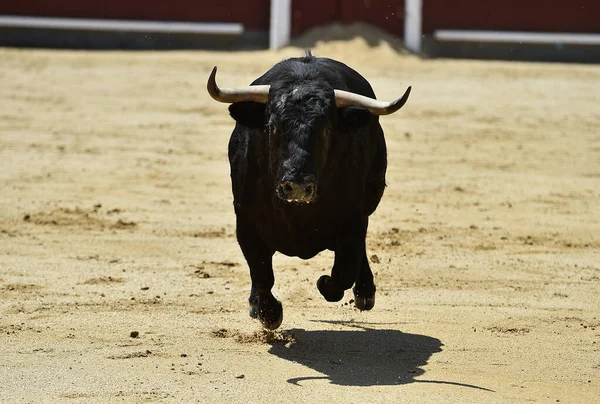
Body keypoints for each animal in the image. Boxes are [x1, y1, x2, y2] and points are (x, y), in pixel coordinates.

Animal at [207, 53, 412, 330]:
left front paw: (326, 284)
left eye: (327, 129)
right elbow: (261, 272)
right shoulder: (246, 222)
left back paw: (365, 293)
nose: (297, 186)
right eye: (272, 126)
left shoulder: (354, 220)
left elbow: (344, 271)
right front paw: (269, 313)